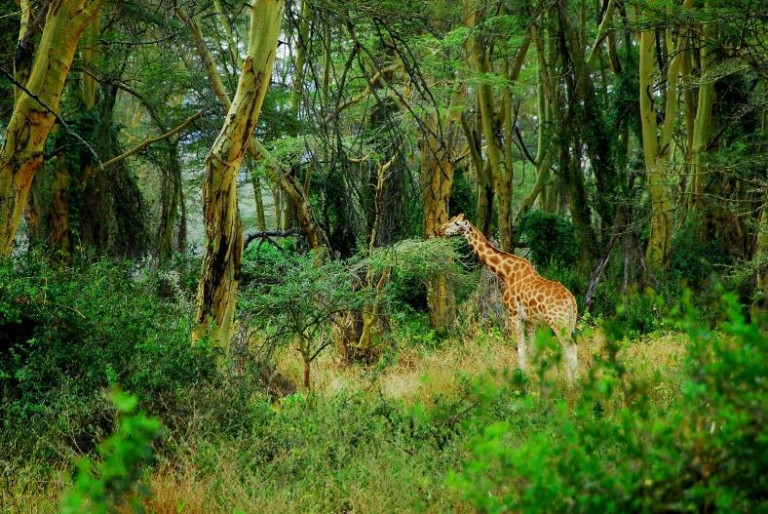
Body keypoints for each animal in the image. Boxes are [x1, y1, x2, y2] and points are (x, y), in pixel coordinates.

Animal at [436, 211, 580, 380]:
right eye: (451, 220)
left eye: (457, 223)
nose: (439, 230)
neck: (506, 273)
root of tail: (571, 301)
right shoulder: (530, 321)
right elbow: (532, 351)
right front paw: (534, 377)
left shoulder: (513, 315)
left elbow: (521, 350)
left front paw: (523, 378)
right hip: (569, 323)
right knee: (570, 348)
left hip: (558, 322)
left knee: (570, 347)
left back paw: (572, 383)